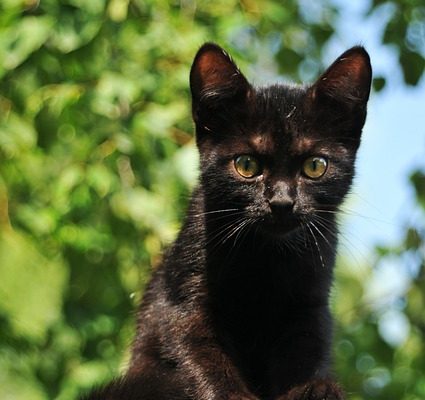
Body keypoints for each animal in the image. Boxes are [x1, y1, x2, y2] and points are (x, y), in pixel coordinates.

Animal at [82, 42, 368, 398]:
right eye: (246, 165)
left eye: (315, 166)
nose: (282, 202)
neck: (265, 258)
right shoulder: (183, 305)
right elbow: (202, 359)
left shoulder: (309, 309)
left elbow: (305, 356)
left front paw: (312, 389)